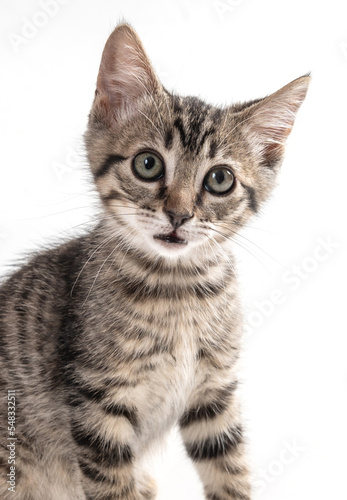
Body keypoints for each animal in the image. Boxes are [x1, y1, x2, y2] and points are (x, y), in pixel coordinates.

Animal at [0, 22, 310, 500]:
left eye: (220, 179)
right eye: (148, 164)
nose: (179, 215)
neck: (179, 289)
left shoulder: (213, 394)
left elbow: (229, 470)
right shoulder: (98, 403)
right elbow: (113, 486)